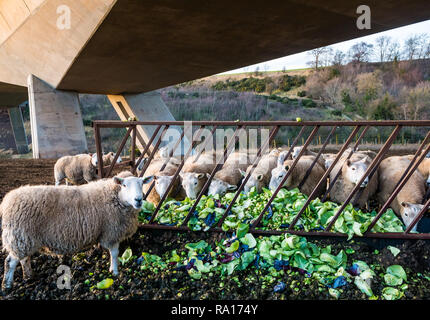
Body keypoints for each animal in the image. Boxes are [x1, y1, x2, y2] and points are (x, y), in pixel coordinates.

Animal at [0, 175, 153, 290]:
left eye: (141, 184)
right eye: (125, 185)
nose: (139, 199)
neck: (116, 198)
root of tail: (7, 202)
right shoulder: (111, 233)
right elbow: (115, 254)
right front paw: (114, 272)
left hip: (25, 239)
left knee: (24, 259)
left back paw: (29, 276)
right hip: (20, 236)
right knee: (10, 262)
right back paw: (7, 285)